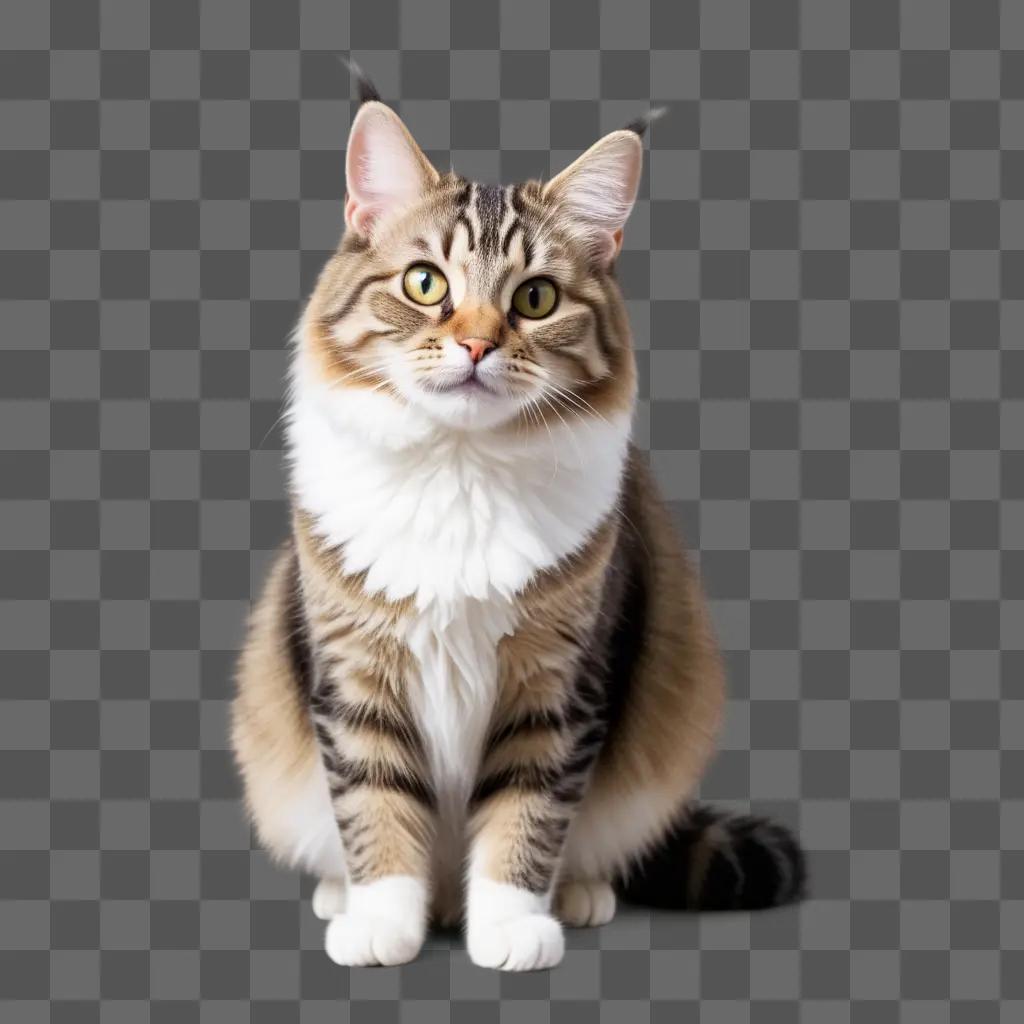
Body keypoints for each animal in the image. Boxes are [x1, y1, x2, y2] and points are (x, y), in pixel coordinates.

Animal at [230, 70, 798, 966]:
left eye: (536, 299)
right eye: (426, 284)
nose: (475, 346)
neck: (460, 470)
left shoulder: (556, 686)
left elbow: (525, 817)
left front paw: (510, 926)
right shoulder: (356, 675)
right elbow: (375, 806)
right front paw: (382, 923)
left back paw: (577, 896)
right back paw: (344, 899)